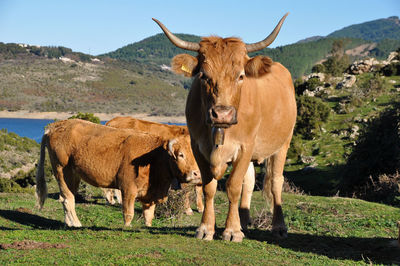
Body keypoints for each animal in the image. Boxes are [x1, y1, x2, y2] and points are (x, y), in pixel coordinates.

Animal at [154, 12, 296, 241]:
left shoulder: (245, 146)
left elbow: (233, 186)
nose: (222, 114)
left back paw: (278, 226)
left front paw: (232, 231)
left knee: (276, 182)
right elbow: (209, 187)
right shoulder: (198, 147)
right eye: (203, 75)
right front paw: (206, 228)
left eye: (241, 75)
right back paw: (244, 221)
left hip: (283, 143)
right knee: (249, 182)